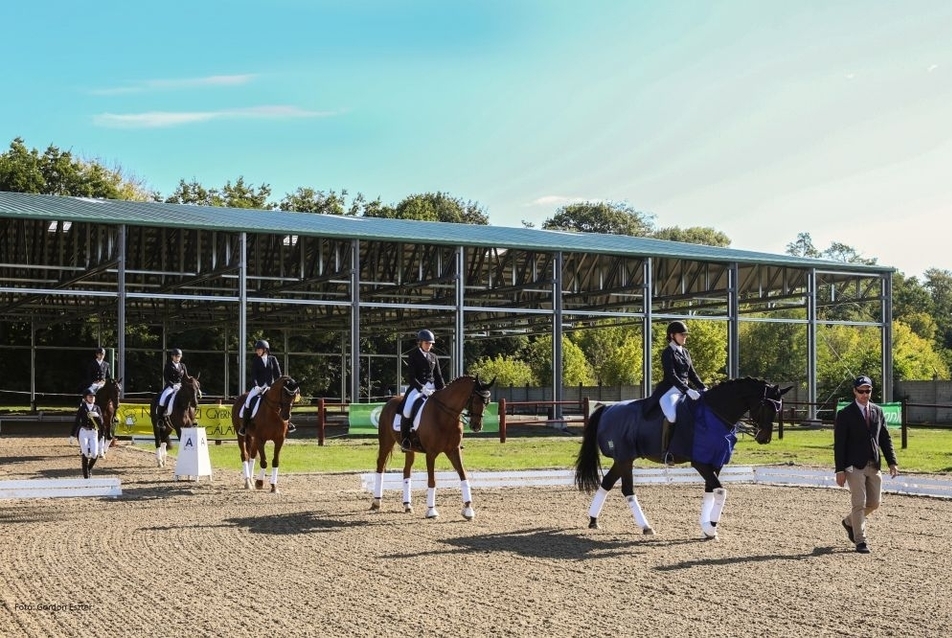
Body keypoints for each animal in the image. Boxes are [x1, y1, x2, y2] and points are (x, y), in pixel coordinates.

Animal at [368, 378, 494, 524]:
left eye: (487, 402)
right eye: (475, 399)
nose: (476, 426)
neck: (445, 416)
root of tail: (389, 401)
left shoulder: (454, 451)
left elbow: (464, 476)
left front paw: (468, 509)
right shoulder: (431, 454)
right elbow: (432, 481)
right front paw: (431, 511)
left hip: (409, 448)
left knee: (406, 471)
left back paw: (407, 505)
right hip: (386, 442)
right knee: (380, 466)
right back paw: (376, 503)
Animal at [576, 380, 792, 540]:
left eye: (779, 409)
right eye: (765, 406)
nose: (764, 438)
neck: (715, 414)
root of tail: (608, 408)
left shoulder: (716, 461)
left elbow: (710, 491)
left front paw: (706, 527)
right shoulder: (701, 462)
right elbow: (720, 491)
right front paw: (711, 528)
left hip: (623, 458)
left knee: (607, 483)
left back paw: (594, 520)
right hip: (625, 458)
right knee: (627, 490)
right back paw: (646, 527)